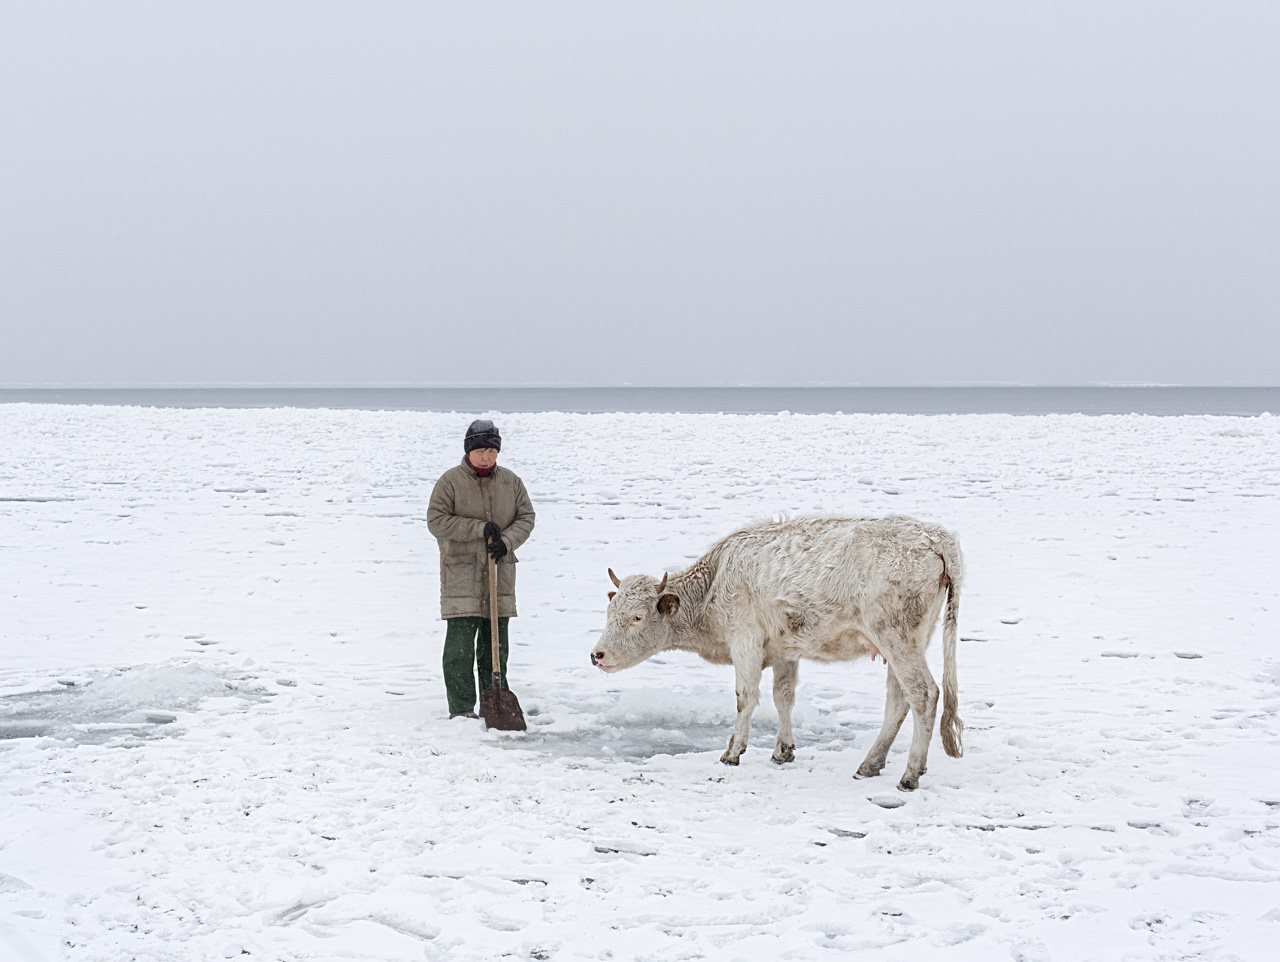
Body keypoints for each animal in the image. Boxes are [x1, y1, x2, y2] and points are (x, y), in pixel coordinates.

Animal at [588, 514, 962, 793]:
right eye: (610, 612)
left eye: (637, 617)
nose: (597, 655)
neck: (714, 583)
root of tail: (936, 536)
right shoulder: (785, 650)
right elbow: (783, 696)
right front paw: (783, 751)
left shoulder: (744, 641)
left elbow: (746, 696)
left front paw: (732, 752)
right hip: (905, 642)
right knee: (898, 700)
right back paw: (870, 764)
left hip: (896, 637)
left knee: (923, 694)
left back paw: (909, 775)